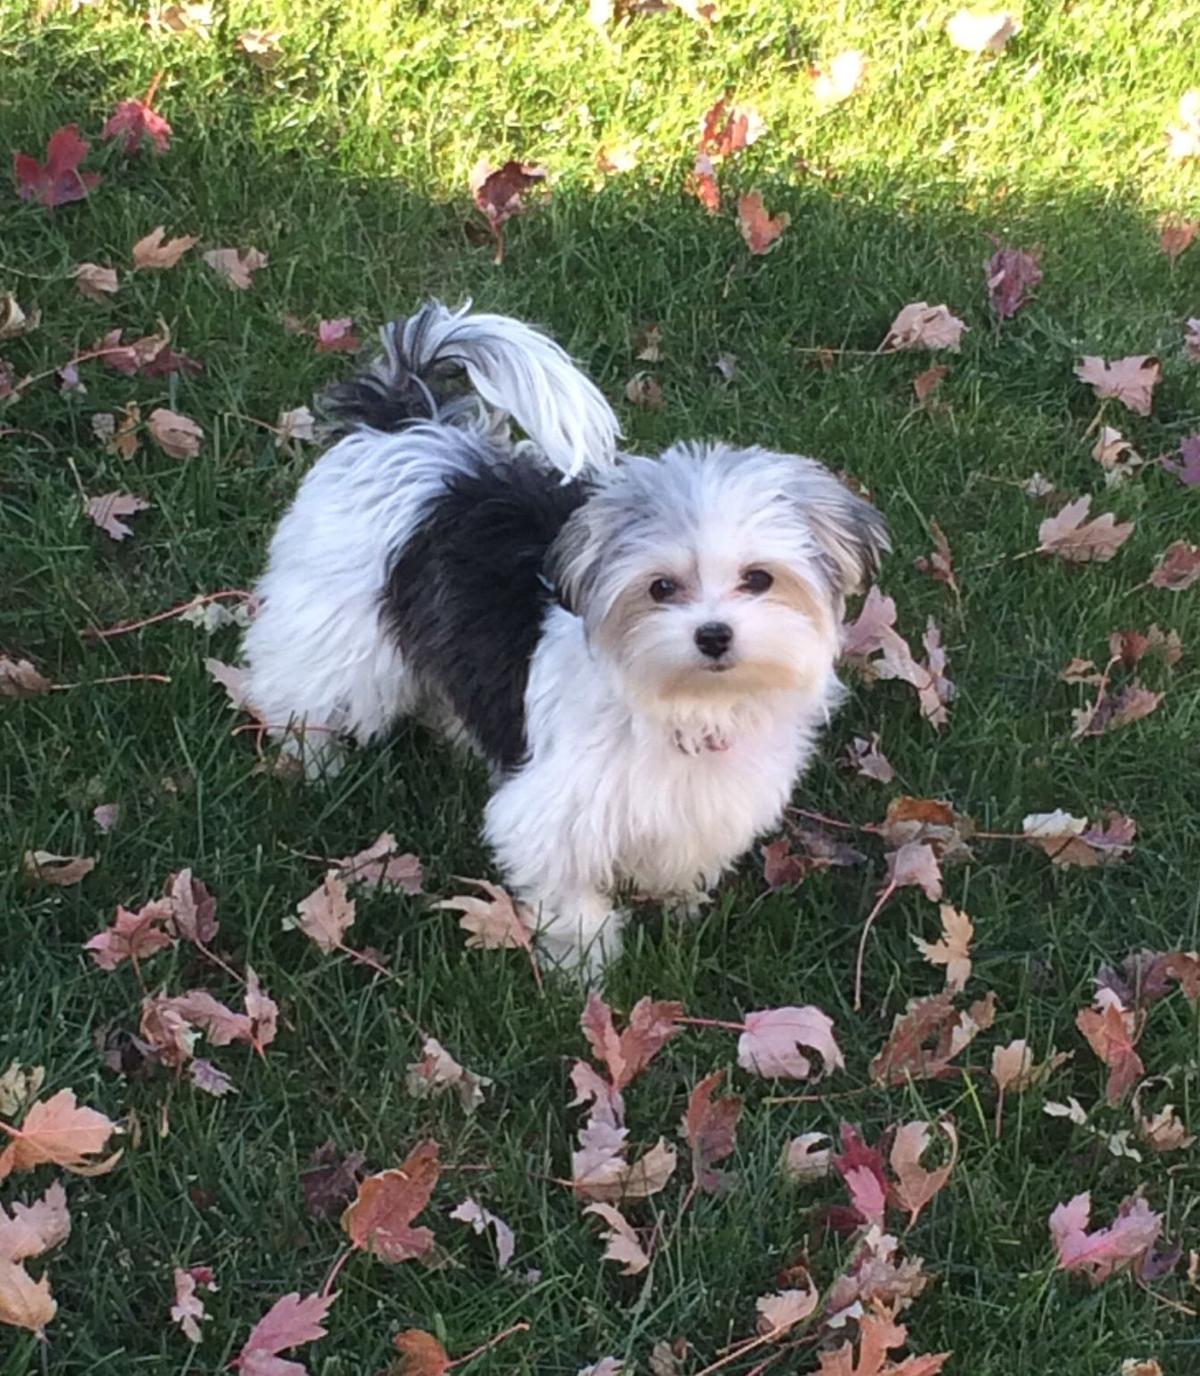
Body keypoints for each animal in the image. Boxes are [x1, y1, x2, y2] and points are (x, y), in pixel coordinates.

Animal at [239, 306, 886, 974]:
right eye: (660, 587)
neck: (685, 704)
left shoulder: (703, 802)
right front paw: (586, 965)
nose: (713, 635)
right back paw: (314, 761)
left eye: (759, 579)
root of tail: (403, 424)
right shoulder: (558, 810)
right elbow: (569, 891)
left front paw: (677, 907)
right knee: (305, 689)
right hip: (335, 627)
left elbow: (679, 857)